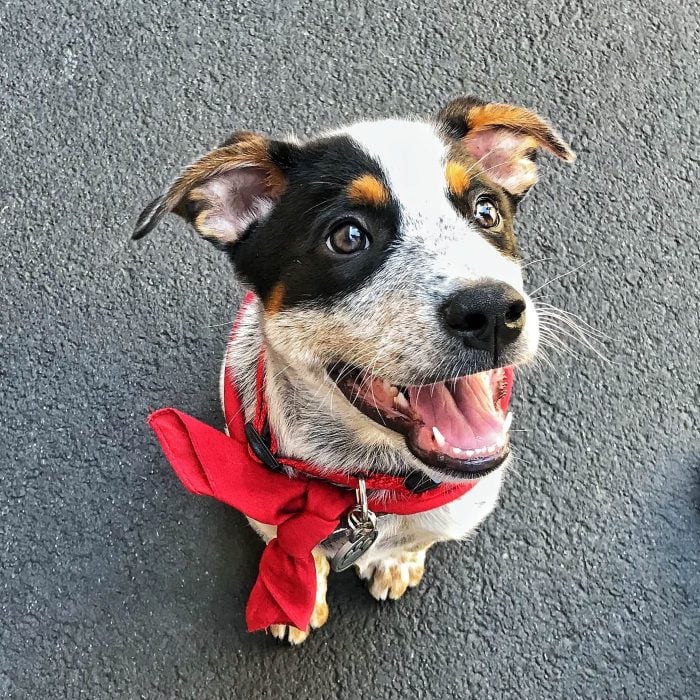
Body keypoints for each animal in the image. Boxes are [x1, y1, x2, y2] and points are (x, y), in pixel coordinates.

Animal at [133, 95, 576, 644]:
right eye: (347, 236)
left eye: (487, 210)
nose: (492, 311)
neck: (367, 485)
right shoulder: (260, 498)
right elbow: (297, 551)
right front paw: (295, 602)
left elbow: (414, 541)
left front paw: (396, 563)